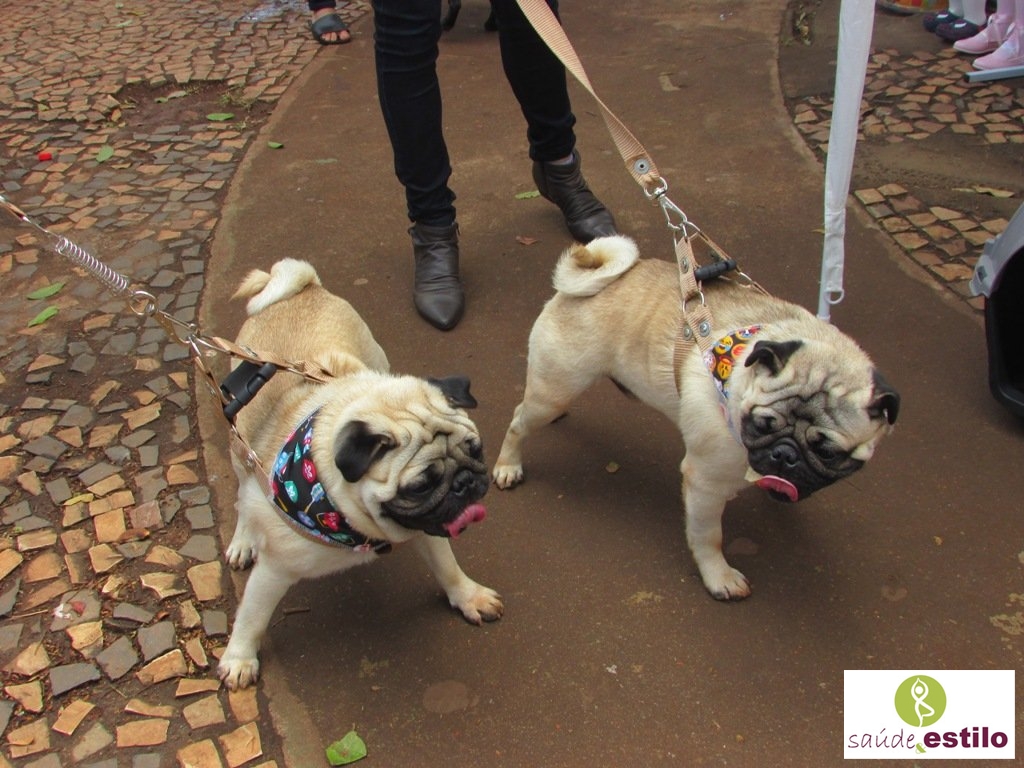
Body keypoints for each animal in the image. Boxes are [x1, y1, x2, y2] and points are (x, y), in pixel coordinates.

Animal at [217, 259, 502, 690]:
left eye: (476, 449)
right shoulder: (275, 569)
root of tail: (303, 287)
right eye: (420, 485)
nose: (466, 483)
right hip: (241, 446)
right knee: (242, 497)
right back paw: (243, 539)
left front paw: (468, 596)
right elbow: (251, 617)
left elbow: (447, 567)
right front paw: (239, 658)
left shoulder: (429, 528)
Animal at [493, 236, 899, 600]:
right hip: (555, 388)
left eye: (828, 451)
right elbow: (709, 536)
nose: (785, 455)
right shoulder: (706, 482)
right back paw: (508, 466)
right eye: (762, 424)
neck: (736, 380)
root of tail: (580, 283)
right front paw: (719, 577)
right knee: (518, 422)